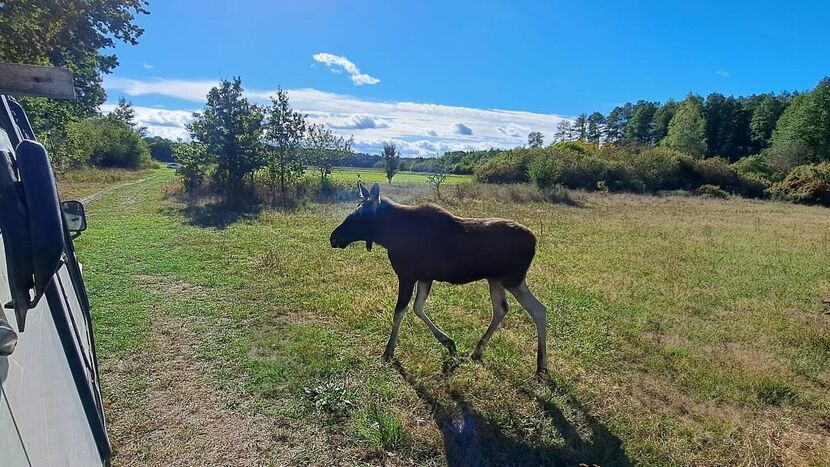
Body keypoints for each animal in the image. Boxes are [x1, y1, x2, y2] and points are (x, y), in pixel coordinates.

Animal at [332, 181, 552, 378]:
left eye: (359, 215)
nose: (333, 237)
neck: (389, 237)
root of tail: (534, 241)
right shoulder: (425, 277)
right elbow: (418, 308)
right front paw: (448, 342)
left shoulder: (407, 275)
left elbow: (399, 312)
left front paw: (388, 351)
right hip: (495, 279)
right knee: (501, 309)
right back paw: (478, 350)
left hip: (513, 279)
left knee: (538, 309)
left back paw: (541, 365)